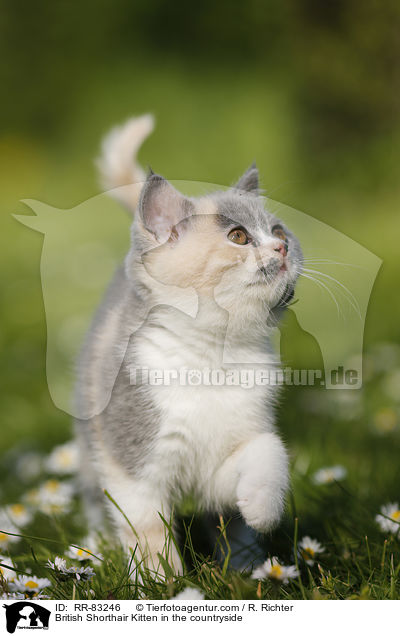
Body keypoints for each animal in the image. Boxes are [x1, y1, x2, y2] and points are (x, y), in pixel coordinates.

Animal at [73, 114, 302, 576]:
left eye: (278, 230)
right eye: (238, 236)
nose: (283, 247)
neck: (212, 357)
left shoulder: (229, 451)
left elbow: (267, 452)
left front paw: (262, 507)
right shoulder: (132, 458)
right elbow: (145, 527)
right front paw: (163, 580)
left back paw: (245, 568)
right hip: (92, 440)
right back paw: (97, 547)